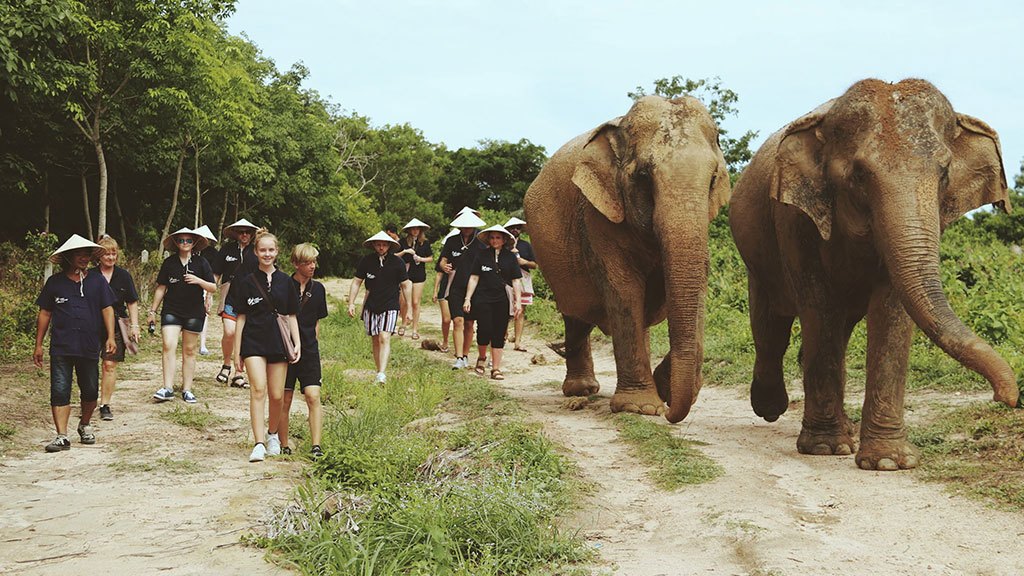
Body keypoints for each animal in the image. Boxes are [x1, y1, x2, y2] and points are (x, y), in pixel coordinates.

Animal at [524, 95, 730, 423]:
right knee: (575, 315)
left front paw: (662, 392)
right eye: (643, 177)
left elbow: (696, 288)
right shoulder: (597, 214)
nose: (670, 412)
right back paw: (582, 390)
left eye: (712, 180)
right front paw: (641, 408)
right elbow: (623, 290)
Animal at [729, 78, 1019, 470]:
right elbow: (817, 305)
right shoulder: (794, 218)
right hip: (758, 254)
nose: (1006, 398)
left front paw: (888, 462)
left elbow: (892, 310)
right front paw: (826, 449)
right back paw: (772, 408)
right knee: (772, 326)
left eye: (944, 173)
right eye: (859, 174)